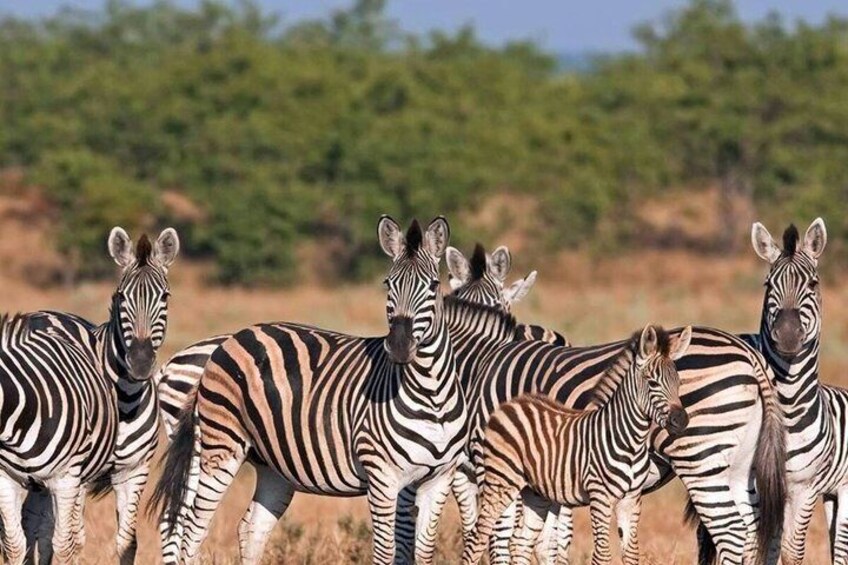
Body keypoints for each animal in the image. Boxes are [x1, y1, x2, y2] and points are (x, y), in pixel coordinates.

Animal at [0, 226, 178, 564]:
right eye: (121, 296)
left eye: (165, 296)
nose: (140, 362)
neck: (124, 400)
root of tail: (45, 313)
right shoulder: (70, 477)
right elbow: (68, 541)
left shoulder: (134, 472)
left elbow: (126, 543)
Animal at [150, 240, 565, 562]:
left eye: (503, 306)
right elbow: (415, 539)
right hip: (209, 451)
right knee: (181, 525)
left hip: (272, 464)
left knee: (246, 527)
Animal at [464, 325, 692, 565]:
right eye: (652, 383)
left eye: (679, 383)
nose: (681, 420)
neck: (631, 442)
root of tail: (511, 404)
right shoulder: (599, 496)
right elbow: (602, 555)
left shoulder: (631, 499)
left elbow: (631, 555)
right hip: (501, 479)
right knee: (477, 537)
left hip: (534, 492)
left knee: (520, 542)